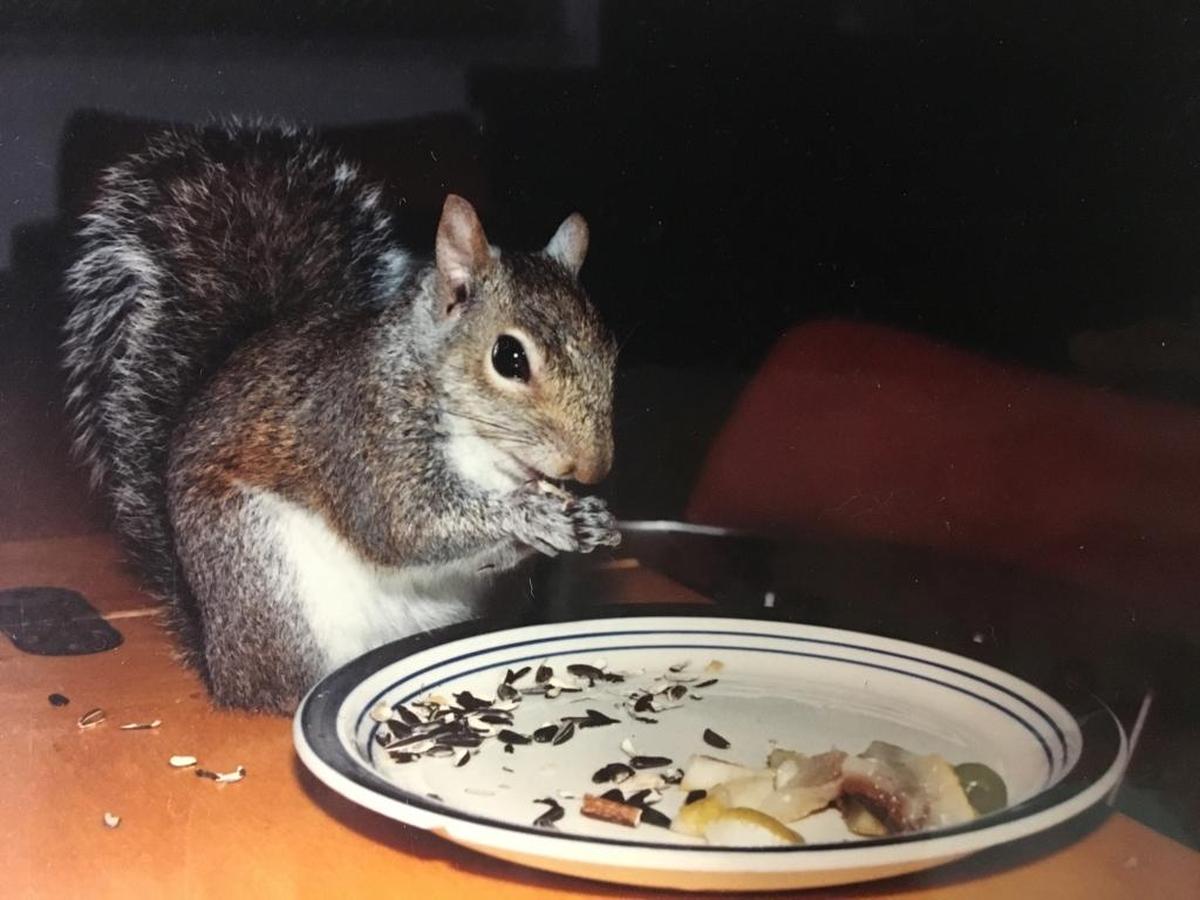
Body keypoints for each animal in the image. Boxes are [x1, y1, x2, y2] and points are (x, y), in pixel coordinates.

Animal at [62, 123, 620, 713]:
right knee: (285, 688)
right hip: (271, 586)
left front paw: (589, 520)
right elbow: (402, 526)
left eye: (609, 350)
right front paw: (531, 515)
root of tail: (218, 662)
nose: (592, 468)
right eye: (509, 357)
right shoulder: (360, 431)